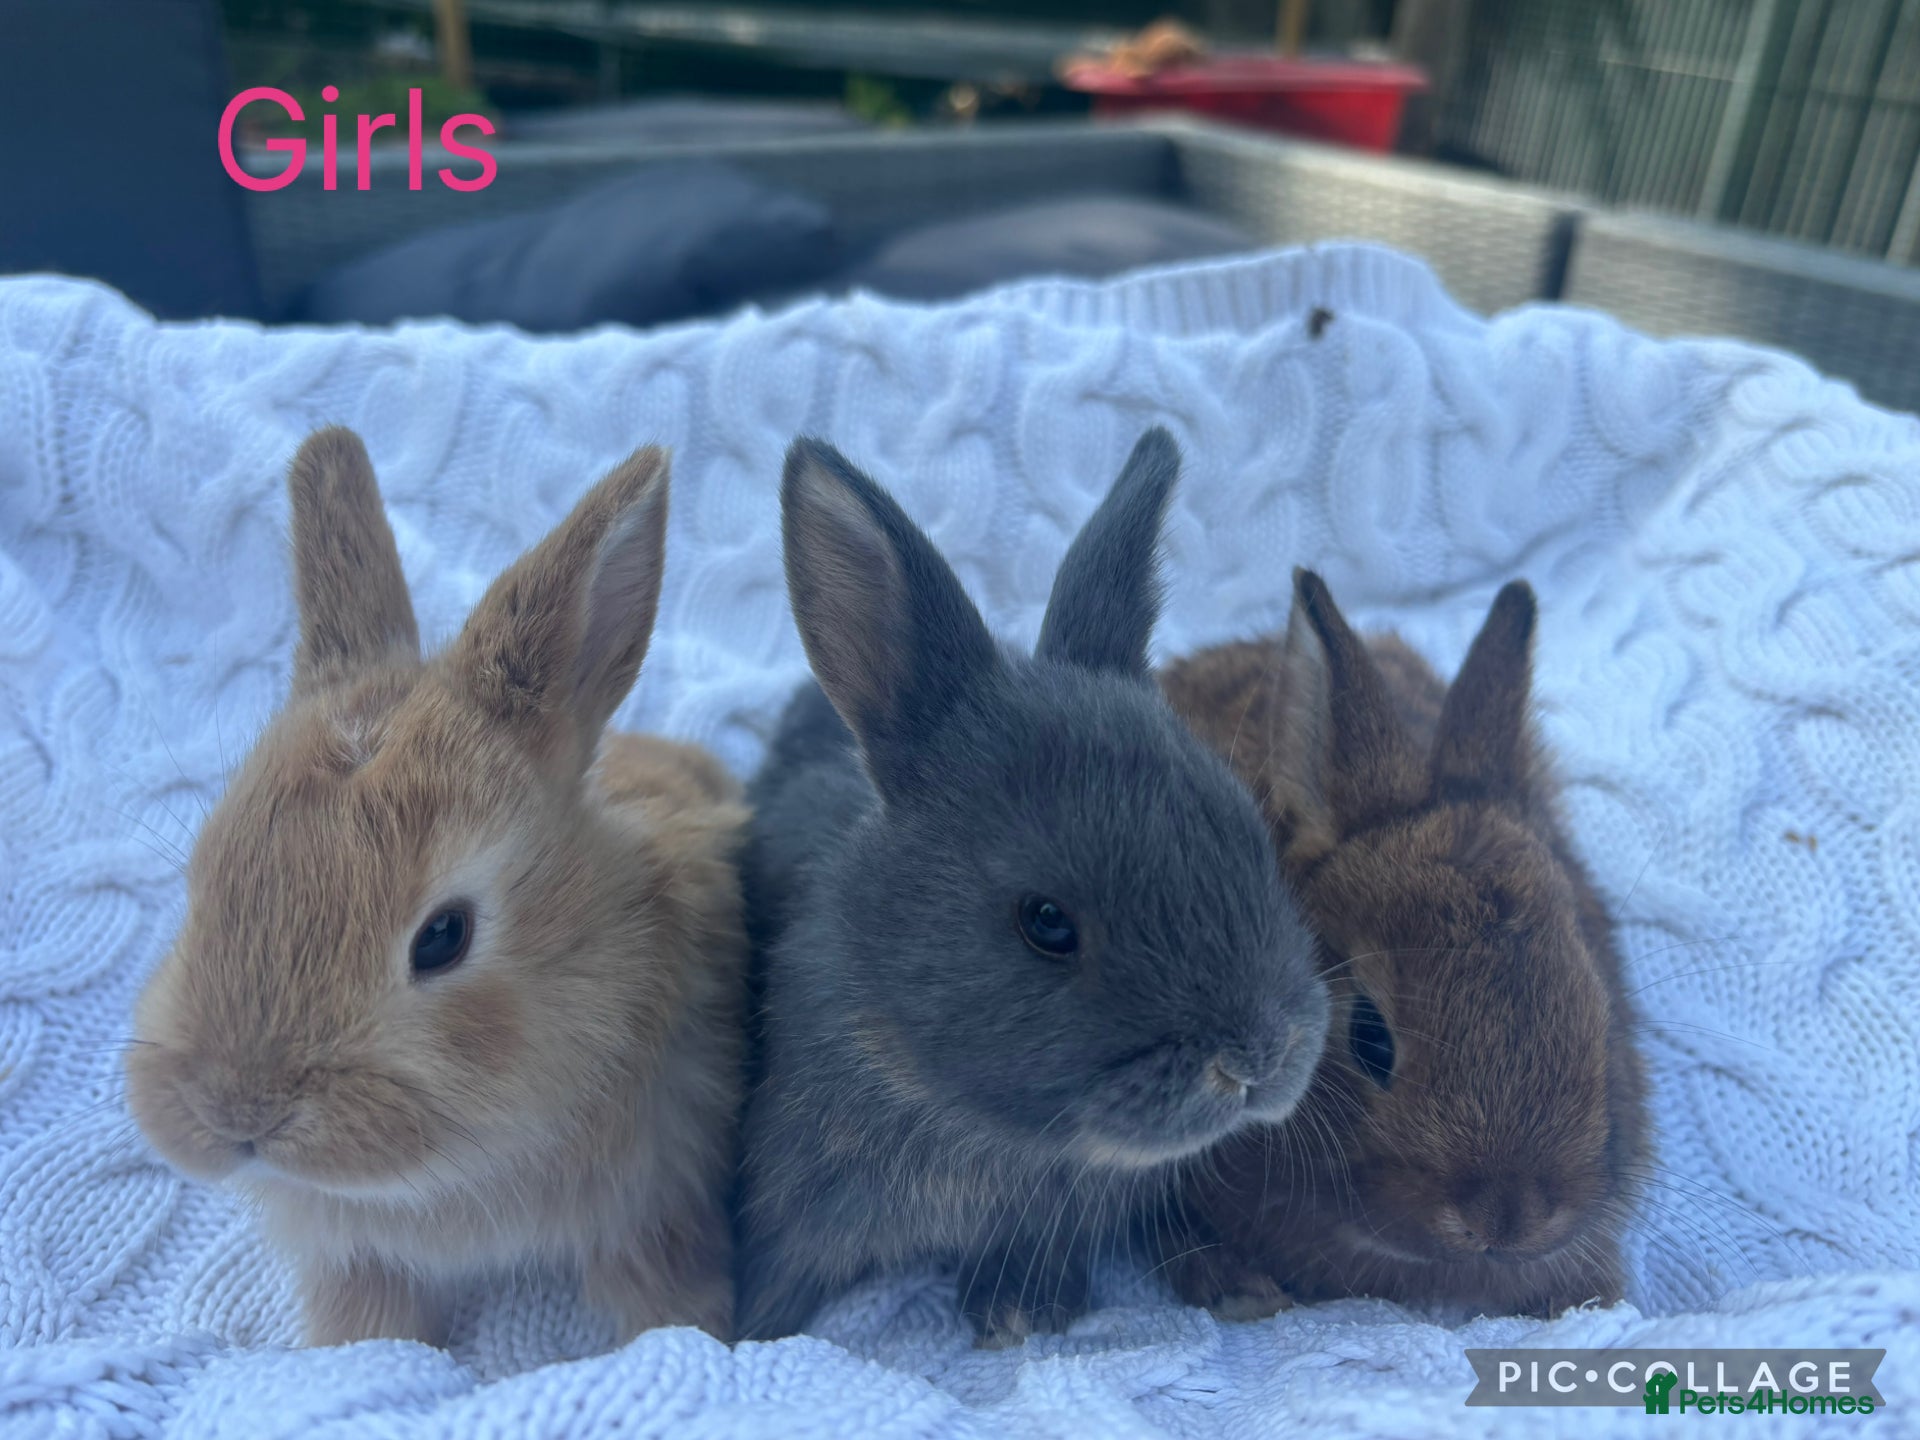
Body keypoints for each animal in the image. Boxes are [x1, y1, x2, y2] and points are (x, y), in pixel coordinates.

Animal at [125, 427, 748, 1348]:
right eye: (201, 878)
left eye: (443, 937)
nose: (237, 1115)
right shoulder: (355, 1252)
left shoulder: (657, 1201)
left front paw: (698, 1338)